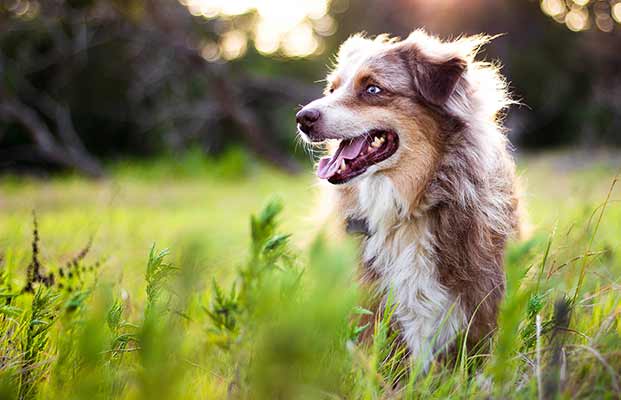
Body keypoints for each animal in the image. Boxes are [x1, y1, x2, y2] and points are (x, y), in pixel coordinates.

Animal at [296, 30, 520, 368]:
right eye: (332, 89)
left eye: (372, 89)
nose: (302, 118)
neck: (407, 209)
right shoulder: (371, 301)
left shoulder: (479, 296)